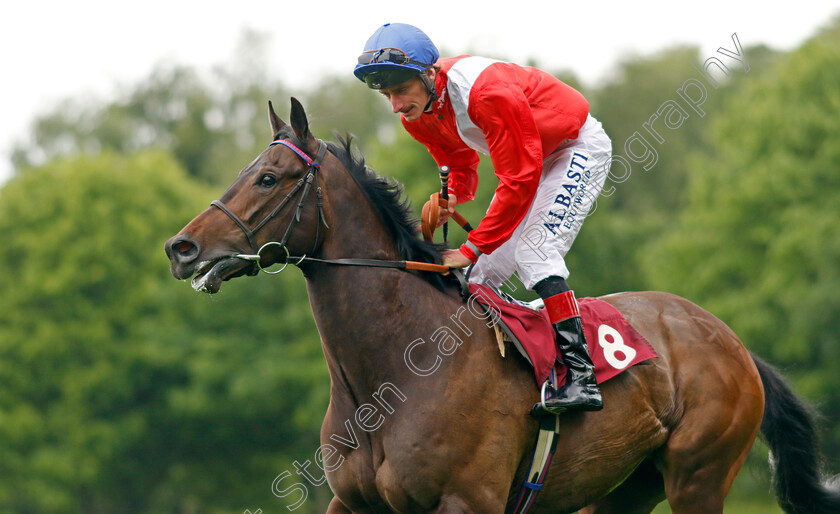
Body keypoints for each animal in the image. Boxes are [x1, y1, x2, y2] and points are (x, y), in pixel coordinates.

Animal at [166, 98, 840, 510]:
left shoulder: (468, 500)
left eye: (269, 178)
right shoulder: (350, 501)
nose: (181, 247)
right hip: (624, 486)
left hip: (699, 475)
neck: (393, 372)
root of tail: (730, 341)